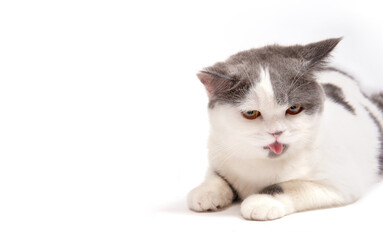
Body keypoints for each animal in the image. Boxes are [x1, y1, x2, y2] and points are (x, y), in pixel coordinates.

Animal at [188, 38, 383, 221]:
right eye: (251, 113)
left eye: (294, 108)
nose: (276, 132)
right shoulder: (219, 150)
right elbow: (217, 175)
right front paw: (206, 190)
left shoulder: (341, 181)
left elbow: (294, 185)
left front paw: (262, 200)